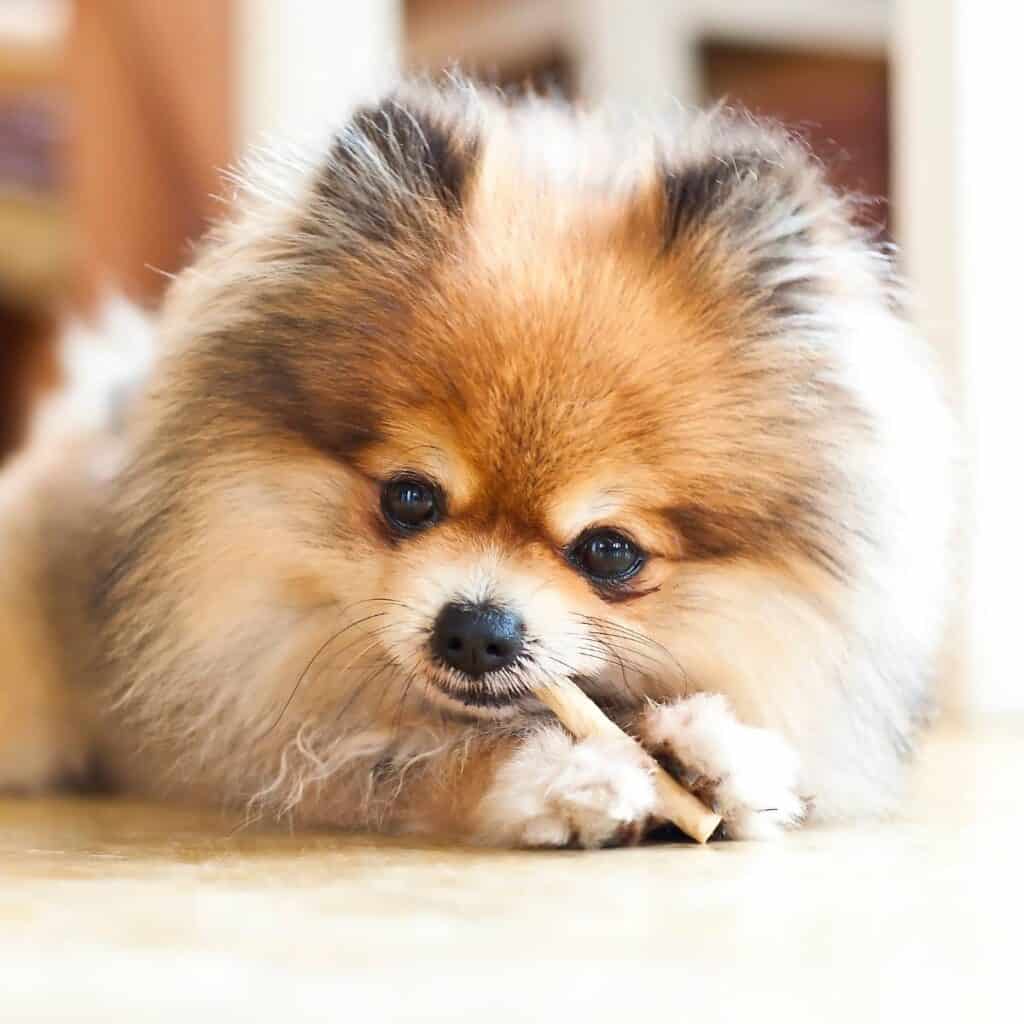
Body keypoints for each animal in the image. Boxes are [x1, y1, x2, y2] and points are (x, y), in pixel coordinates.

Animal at [0, 81, 950, 847]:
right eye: (410, 498)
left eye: (610, 551)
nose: (477, 629)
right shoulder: (260, 733)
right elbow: (415, 759)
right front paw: (563, 775)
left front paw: (712, 751)